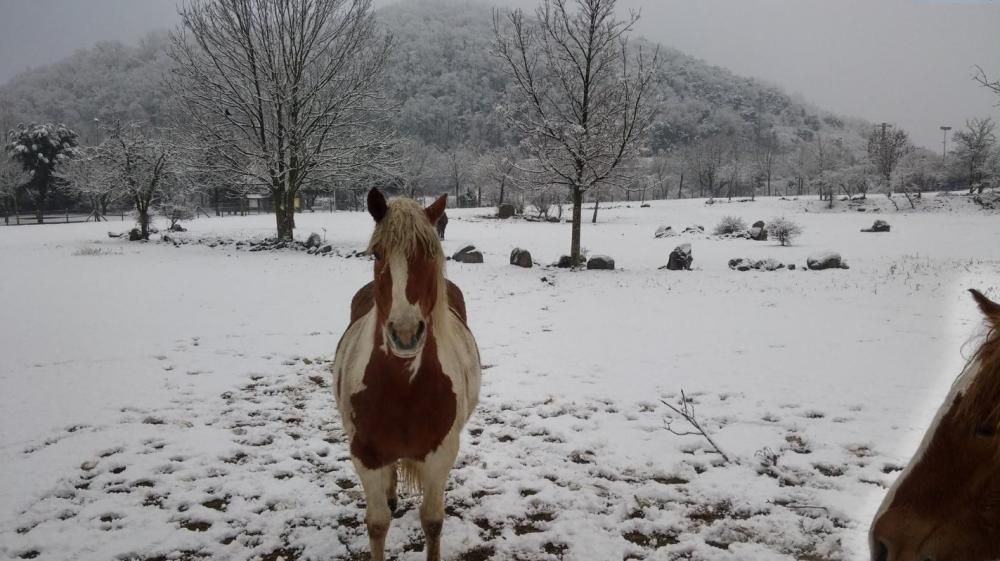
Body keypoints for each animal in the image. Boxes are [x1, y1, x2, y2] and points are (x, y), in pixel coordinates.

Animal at [332, 188, 480, 560]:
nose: (405, 333)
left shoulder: (441, 455)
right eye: (378, 254)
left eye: (429, 254)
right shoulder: (365, 456)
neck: (402, 387)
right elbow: (377, 525)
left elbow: (432, 522)